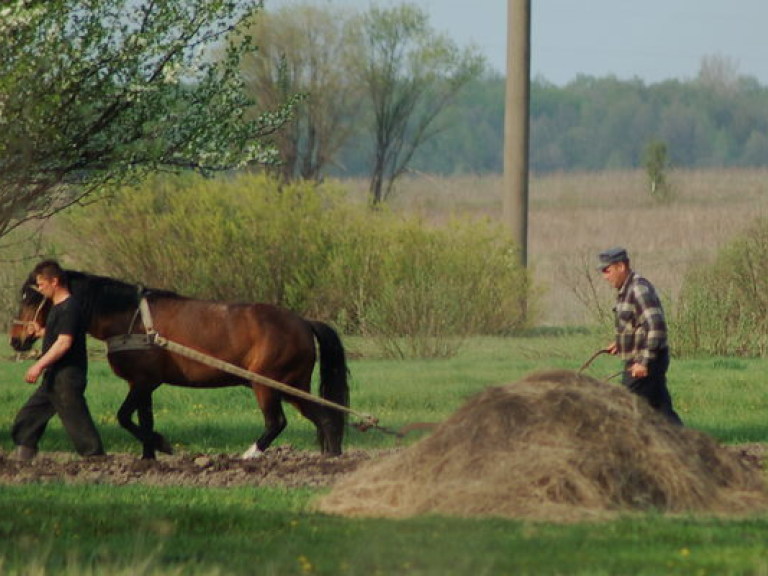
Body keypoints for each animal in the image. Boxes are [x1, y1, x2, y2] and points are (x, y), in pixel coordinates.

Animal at [8, 270, 352, 460]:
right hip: (293, 386)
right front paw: (148, 455)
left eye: (30, 296)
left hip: (268, 384)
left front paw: (161, 445)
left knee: (278, 423)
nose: (16, 339)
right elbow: (143, 419)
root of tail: (303, 322)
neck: (132, 319)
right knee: (324, 418)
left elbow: (124, 417)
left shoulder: (143, 382)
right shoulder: (143, 384)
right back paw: (331, 457)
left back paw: (251, 455)